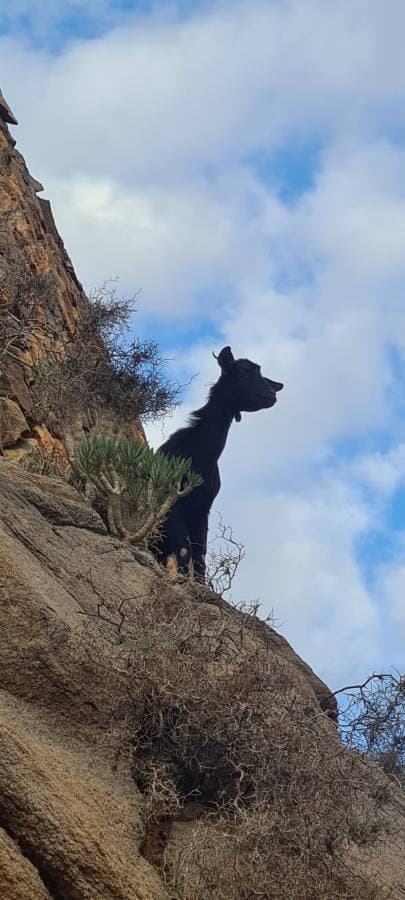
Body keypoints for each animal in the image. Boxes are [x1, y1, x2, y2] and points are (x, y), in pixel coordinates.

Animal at [156, 348, 282, 580]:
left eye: (259, 371)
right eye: (241, 371)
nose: (272, 394)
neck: (200, 453)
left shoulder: (203, 508)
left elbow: (199, 554)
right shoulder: (173, 503)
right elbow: (184, 548)